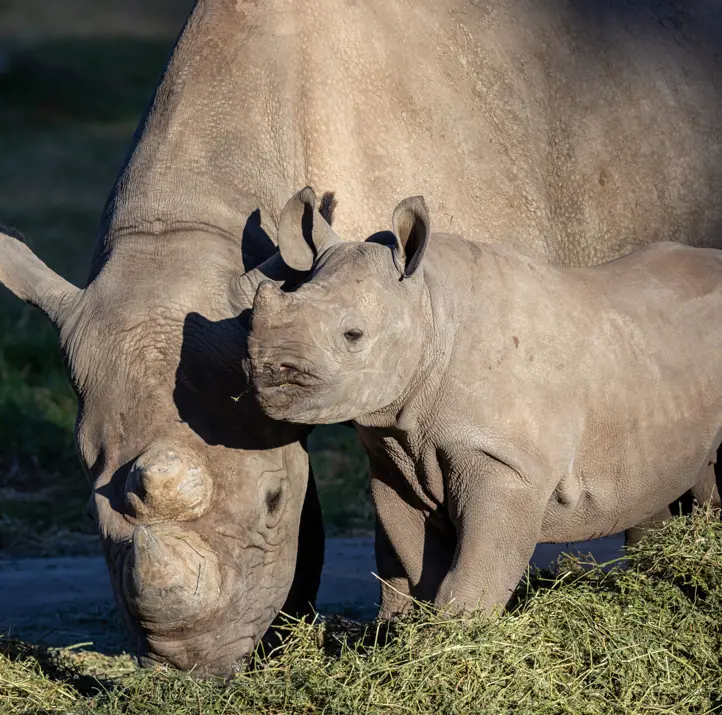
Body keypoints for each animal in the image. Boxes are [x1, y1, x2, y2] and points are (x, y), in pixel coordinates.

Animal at [249, 189, 722, 615]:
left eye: (353, 335)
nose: (266, 373)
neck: (430, 308)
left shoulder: (505, 462)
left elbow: (475, 570)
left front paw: (457, 637)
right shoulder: (393, 458)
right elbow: (415, 565)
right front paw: (410, 635)